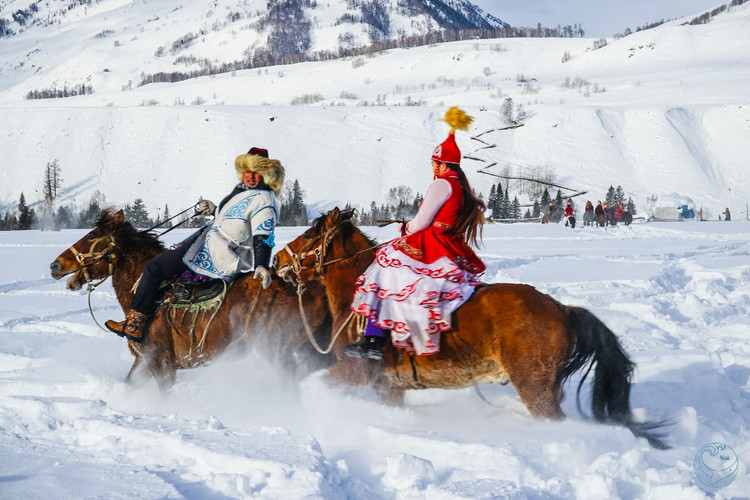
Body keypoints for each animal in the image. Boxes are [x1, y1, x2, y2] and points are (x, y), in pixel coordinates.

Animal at [274, 208, 670, 449]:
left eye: (308, 236)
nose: (277, 259)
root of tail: (562, 309)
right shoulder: (390, 386)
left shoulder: (354, 371)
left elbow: (314, 386)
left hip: (534, 388)